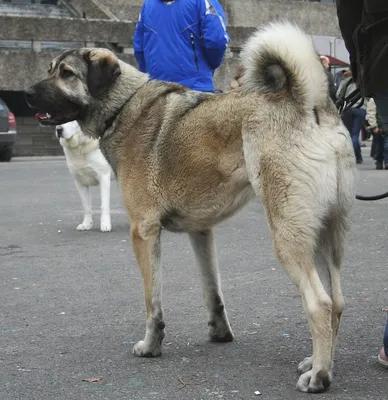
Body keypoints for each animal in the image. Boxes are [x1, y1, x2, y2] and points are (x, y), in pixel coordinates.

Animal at [24, 23, 356, 392]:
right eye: (51, 69)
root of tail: (308, 103)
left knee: (319, 303)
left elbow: (153, 304)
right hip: (325, 237)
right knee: (336, 301)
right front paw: (220, 333)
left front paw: (151, 346)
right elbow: (213, 292)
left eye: (67, 74)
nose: (26, 94)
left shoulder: (144, 232)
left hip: (288, 235)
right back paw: (319, 361)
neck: (124, 106)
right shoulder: (201, 231)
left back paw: (319, 374)